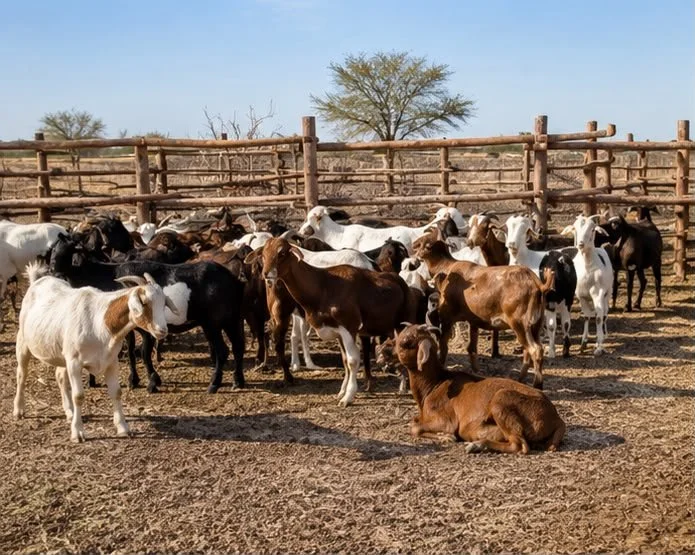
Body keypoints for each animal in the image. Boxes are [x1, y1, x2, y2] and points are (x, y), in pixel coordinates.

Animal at [13, 263, 175, 442]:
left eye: (164, 303)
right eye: (145, 303)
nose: (162, 330)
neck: (99, 322)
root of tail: (37, 281)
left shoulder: (111, 361)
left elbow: (116, 392)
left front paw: (123, 428)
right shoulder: (75, 363)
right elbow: (78, 396)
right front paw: (77, 433)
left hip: (62, 352)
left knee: (60, 376)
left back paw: (69, 412)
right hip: (23, 341)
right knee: (22, 374)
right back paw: (19, 410)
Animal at [389, 324, 565, 453]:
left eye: (405, 342)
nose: (386, 351)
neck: (434, 384)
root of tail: (556, 417)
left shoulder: (446, 420)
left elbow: (415, 428)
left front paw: (446, 437)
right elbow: (414, 421)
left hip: (501, 400)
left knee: (520, 445)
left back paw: (477, 445)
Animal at [413, 234, 554, 389]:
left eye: (424, 245)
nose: (414, 252)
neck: (448, 269)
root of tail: (538, 285)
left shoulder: (447, 317)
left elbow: (443, 346)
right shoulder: (473, 320)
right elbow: (472, 347)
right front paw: (476, 371)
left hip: (520, 324)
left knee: (535, 350)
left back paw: (537, 384)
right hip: (536, 325)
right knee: (529, 351)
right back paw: (521, 379)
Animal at [505, 215, 577, 358]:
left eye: (524, 229)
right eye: (508, 227)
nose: (511, 245)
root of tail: (561, 261)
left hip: (551, 300)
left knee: (552, 325)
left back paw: (552, 352)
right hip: (568, 298)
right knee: (566, 323)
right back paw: (565, 351)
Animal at [561, 215, 614, 355]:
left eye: (593, 229)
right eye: (574, 228)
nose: (580, 244)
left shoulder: (598, 293)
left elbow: (599, 317)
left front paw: (599, 346)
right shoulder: (582, 296)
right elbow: (586, 316)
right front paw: (583, 343)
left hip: (608, 292)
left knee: (604, 313)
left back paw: (603, 335)